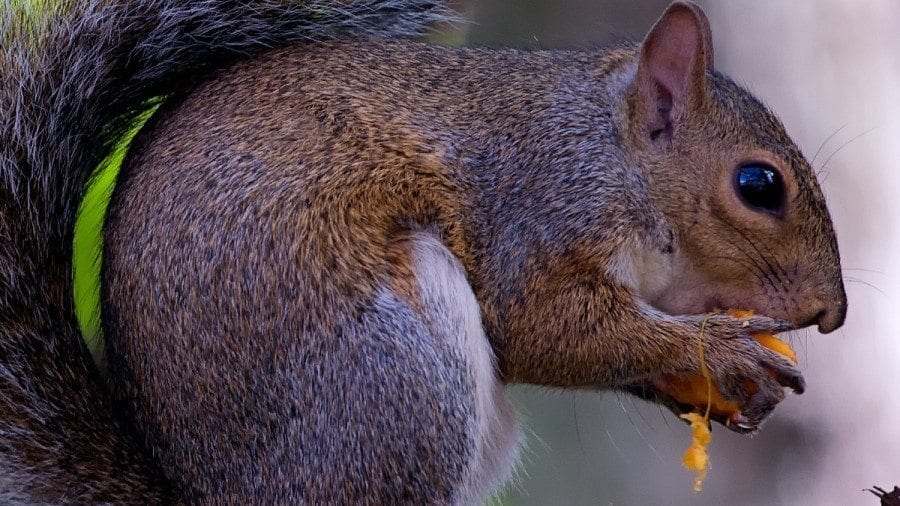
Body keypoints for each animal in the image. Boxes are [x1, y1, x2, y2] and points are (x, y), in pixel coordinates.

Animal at [0, 0, 847, 503]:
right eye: (758, 184)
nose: (831, 314)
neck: (607, 149)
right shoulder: (534, 213)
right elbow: (546, 328)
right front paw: (724, 352)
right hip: (393, 376)